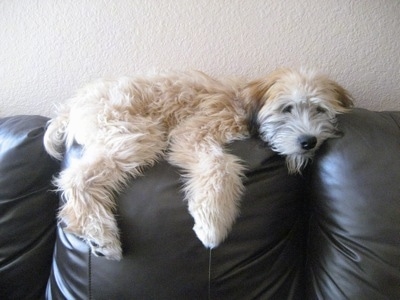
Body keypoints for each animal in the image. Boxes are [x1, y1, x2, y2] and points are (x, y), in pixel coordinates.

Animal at [43, 68, 354, 260]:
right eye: (287, 108)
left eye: (320, 109)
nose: (309, 141)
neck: (241, 104)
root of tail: (71, 105)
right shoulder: (194, 132)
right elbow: (221, 166)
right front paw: (212, 224)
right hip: (134, 134)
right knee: (75, 178)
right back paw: (102, 237)